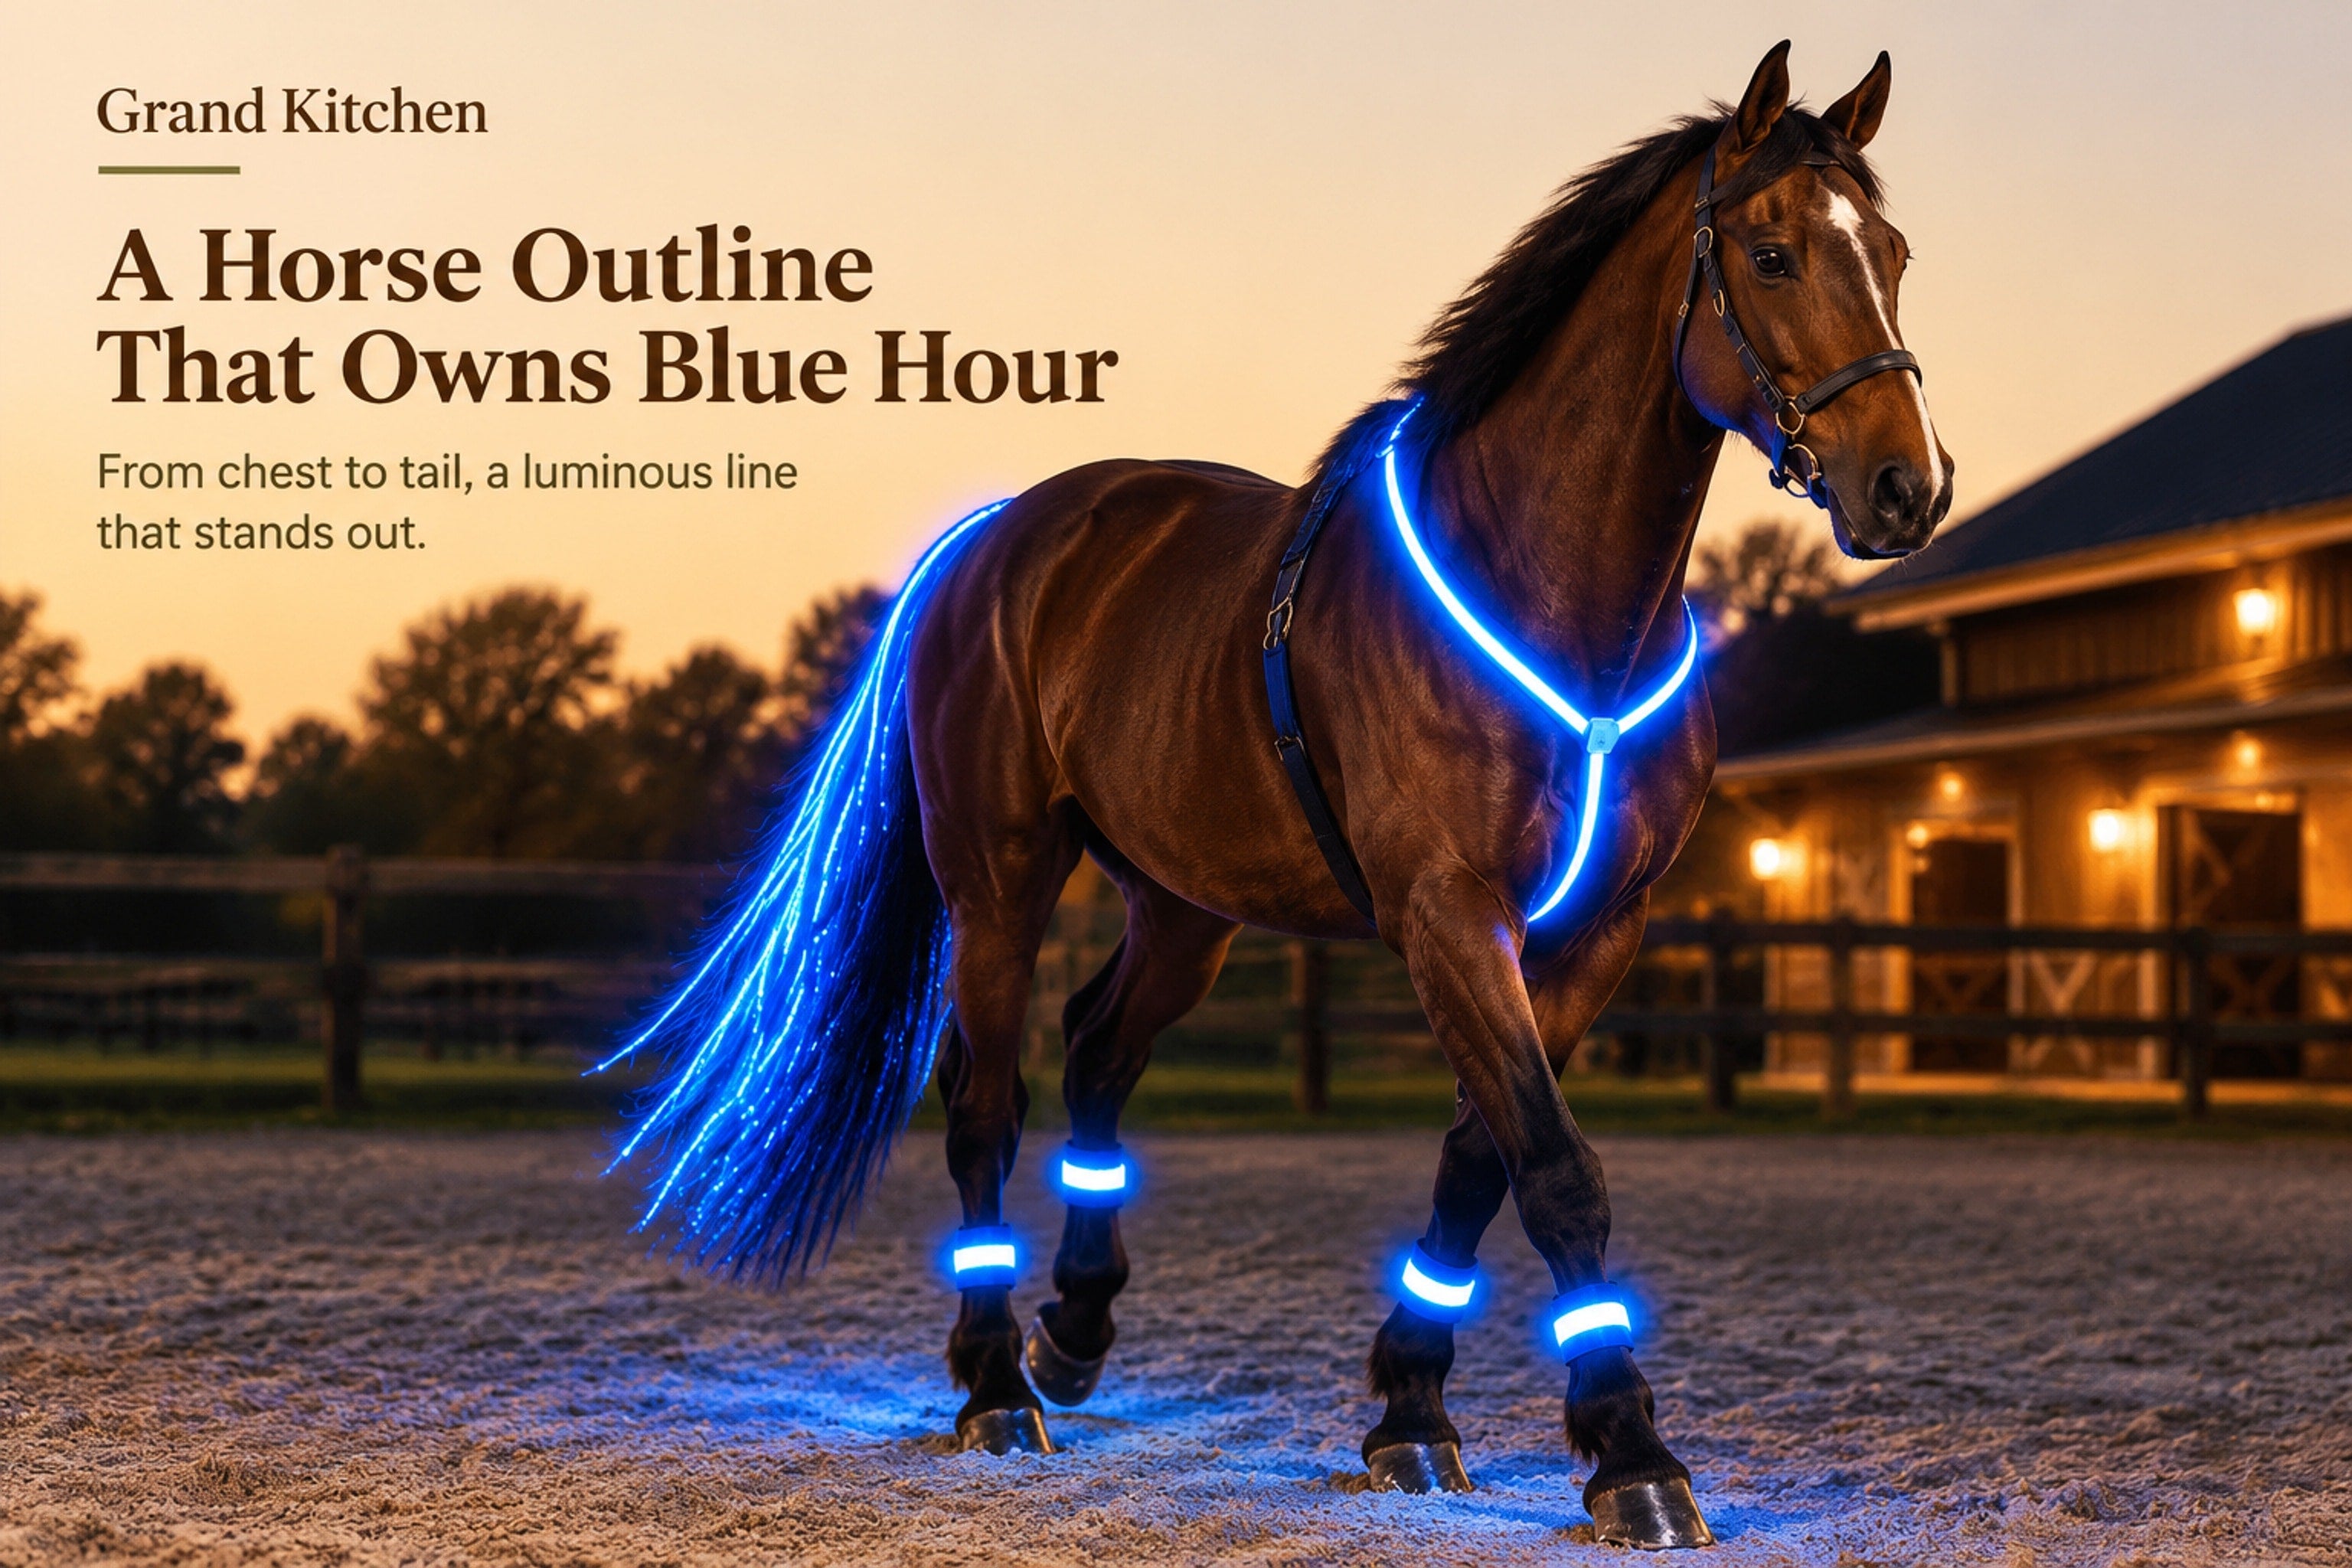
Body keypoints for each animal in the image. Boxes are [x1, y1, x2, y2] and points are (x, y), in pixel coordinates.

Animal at [603, 40, 1953, 1549]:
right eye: (1771, 253)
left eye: (1892, 251)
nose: (1904, 489)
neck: (1553, 598)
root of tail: (999, 537)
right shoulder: (1448, 914)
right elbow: (1554, 1167)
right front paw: (1630, 1455)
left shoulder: (1594, 929)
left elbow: (1481, 1157)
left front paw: (1412, 1414)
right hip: (999, 879)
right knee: (984, 1098)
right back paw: (998, 1386)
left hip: (1185, 905)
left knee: (1096, 1050)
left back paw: (1074, 1331)